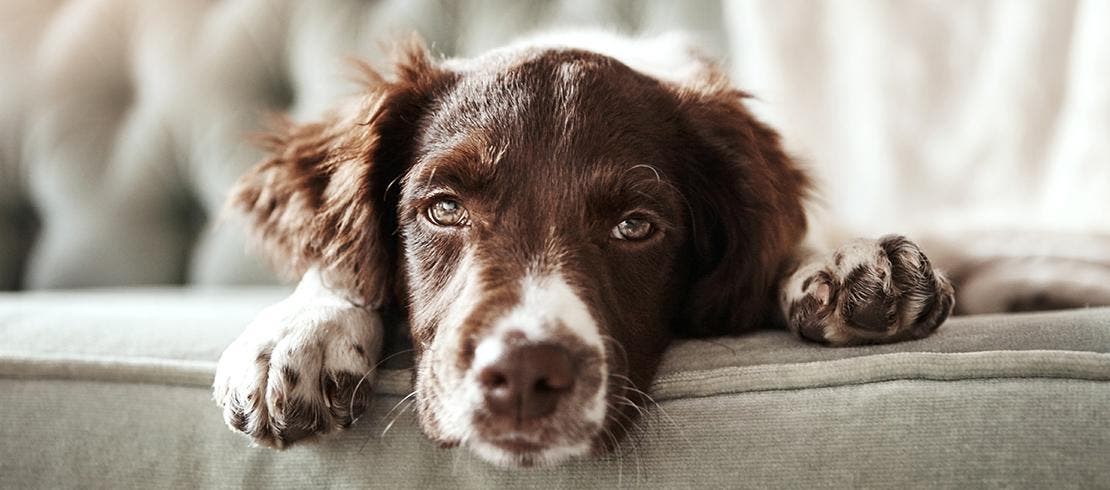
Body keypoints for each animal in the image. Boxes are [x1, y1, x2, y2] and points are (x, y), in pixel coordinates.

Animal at [214, 32, 963, 468]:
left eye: (636, 226)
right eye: (444, 208)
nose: (523, 374)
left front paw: (844, 266)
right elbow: (338, 263)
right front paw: (298, 334)